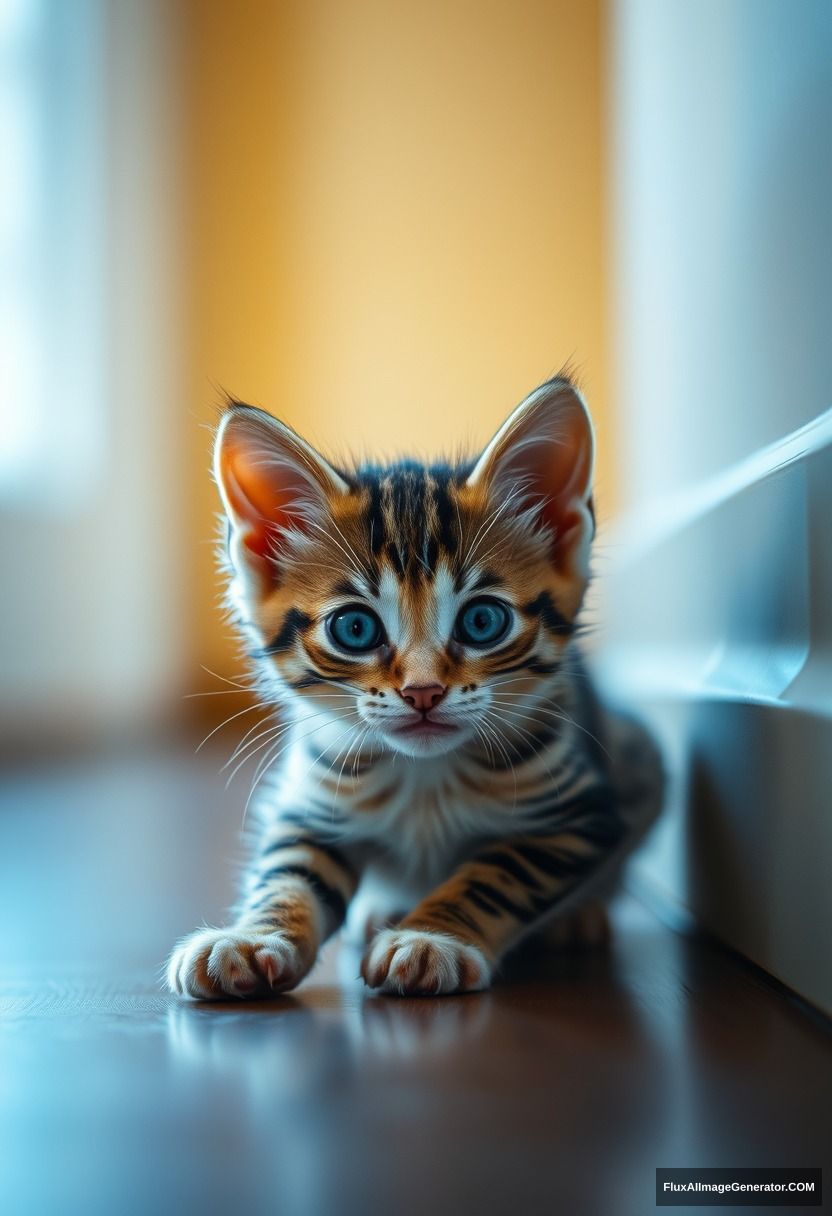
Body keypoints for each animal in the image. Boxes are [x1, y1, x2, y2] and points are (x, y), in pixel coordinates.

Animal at [167, 372, 661, 997]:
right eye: (355, 628)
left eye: (482, 621)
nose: (422, 692)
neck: (425, 776)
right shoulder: (309, 806)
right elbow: (287, 874)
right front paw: (253, 938)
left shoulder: (579, 816)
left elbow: (497, 874)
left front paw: (430, 938)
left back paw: (576, 917)